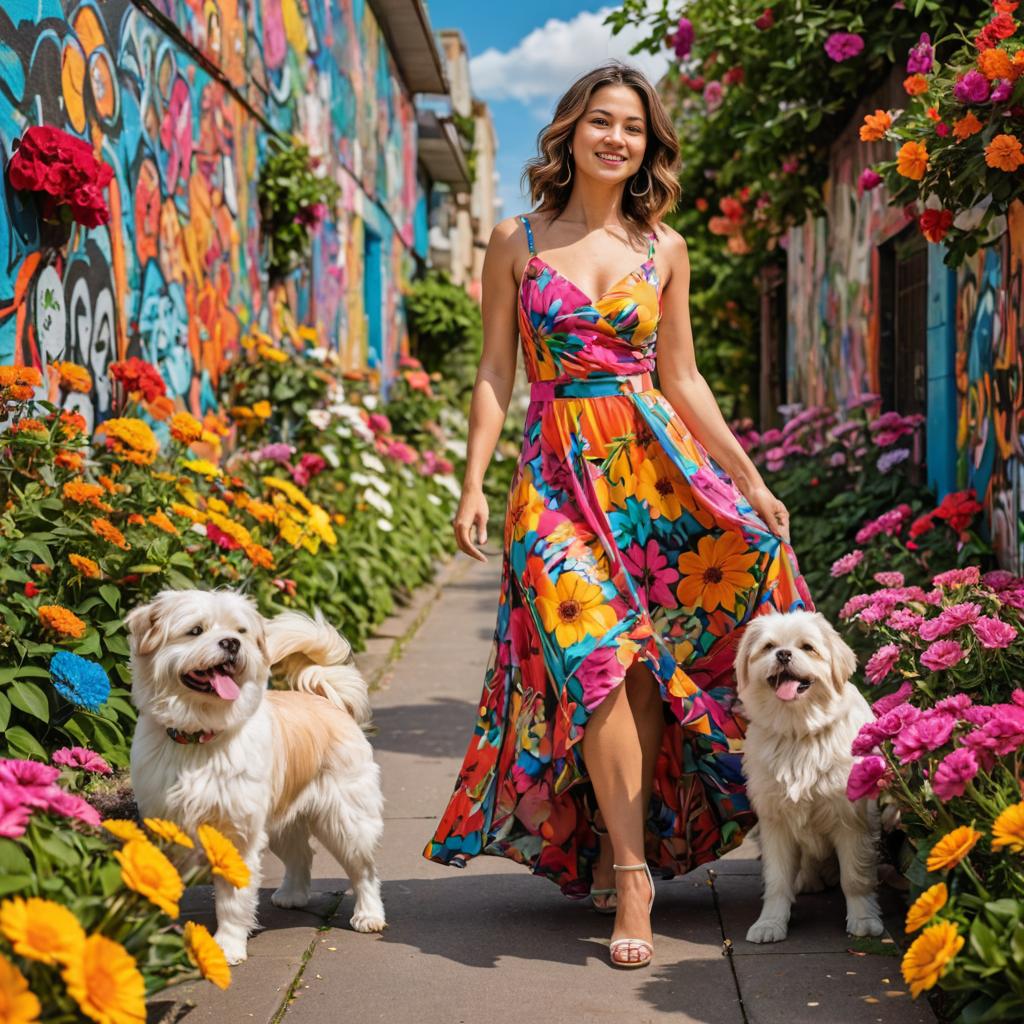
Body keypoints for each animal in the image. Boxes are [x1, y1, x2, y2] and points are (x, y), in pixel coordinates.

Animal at [124, 589, 387, 962]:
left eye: (240, 631)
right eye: (195, 631)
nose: (232, 644)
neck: (200, 736)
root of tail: (329, 701)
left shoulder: (237, 834)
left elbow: (233, 900)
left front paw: (227, 947)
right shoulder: (167, 828)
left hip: (346, 820)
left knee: (364, 871)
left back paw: (368, 915)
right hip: (281, 821)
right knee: (302, 855)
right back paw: (292, 896)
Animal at [737, 606, 880, 942]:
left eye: (807, 647)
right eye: (769, 647)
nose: (784, 654)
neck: (798, 731)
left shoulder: (852, 820)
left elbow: (855, 878)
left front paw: (863, 919)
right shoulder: (774, 823)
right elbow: (776, 882)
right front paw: (770, 923)